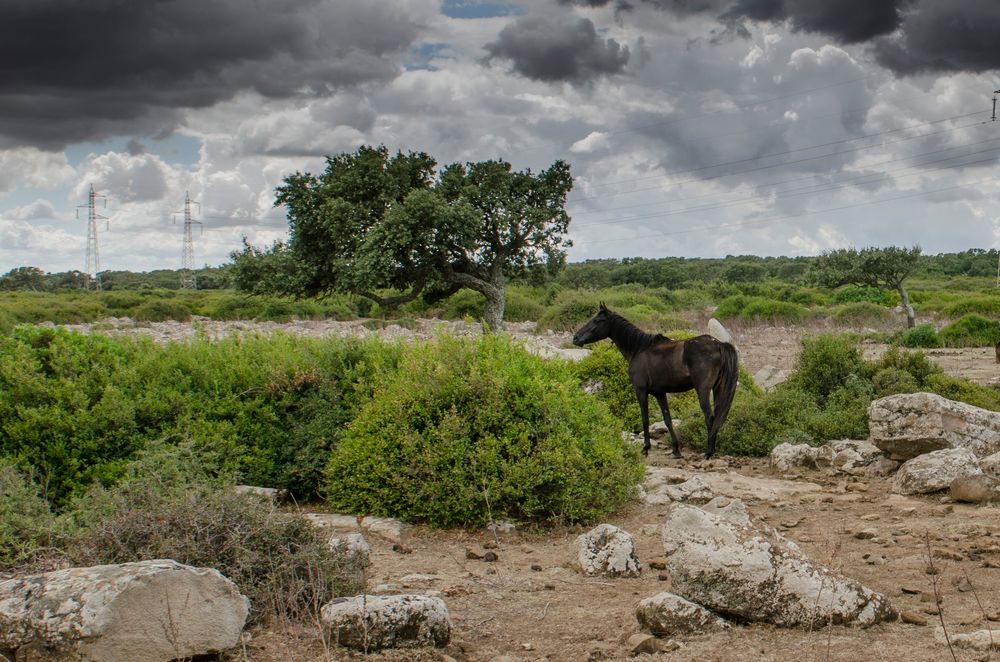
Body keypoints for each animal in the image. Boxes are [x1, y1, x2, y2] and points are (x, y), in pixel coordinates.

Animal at [576, 306, 740, 462]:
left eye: (597, 320)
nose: (576, 337)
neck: (639, 349)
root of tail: (719, 344)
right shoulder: (659, 393)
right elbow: (667, 420)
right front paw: (676, 450)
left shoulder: (640, 390)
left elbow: (645, 419)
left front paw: (645, 448)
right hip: (718, 388)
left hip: (703, 390)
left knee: (710, 418)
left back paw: (708, 453)